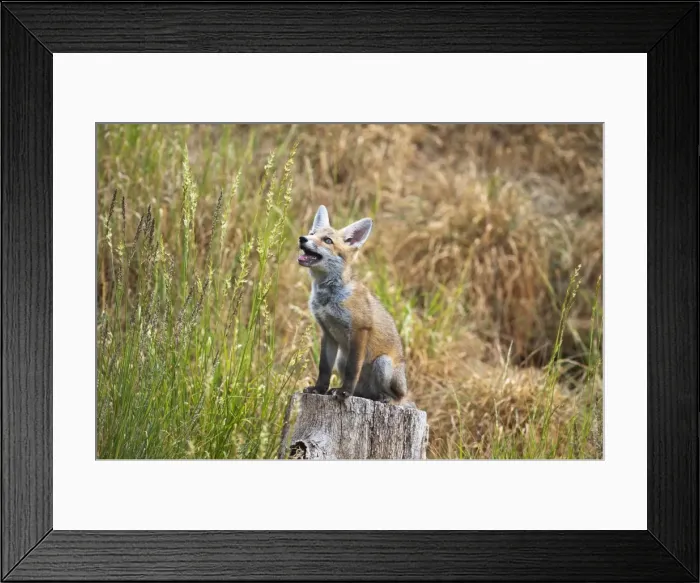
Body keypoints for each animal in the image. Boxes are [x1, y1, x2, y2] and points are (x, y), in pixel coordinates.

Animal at [298, 205, 408, 404]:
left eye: (327, 240)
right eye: (312, 233)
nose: (302, 239)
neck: (329, 298)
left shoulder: (360, 330)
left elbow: (352, 369)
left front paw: (344, 392)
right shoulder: (328, 333)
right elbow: (324, 368)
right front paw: (319, 389)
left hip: (383, 363)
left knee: (399, 398)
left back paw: (385, 398)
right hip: (342, 358)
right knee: (364, 392)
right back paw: (357, 394)